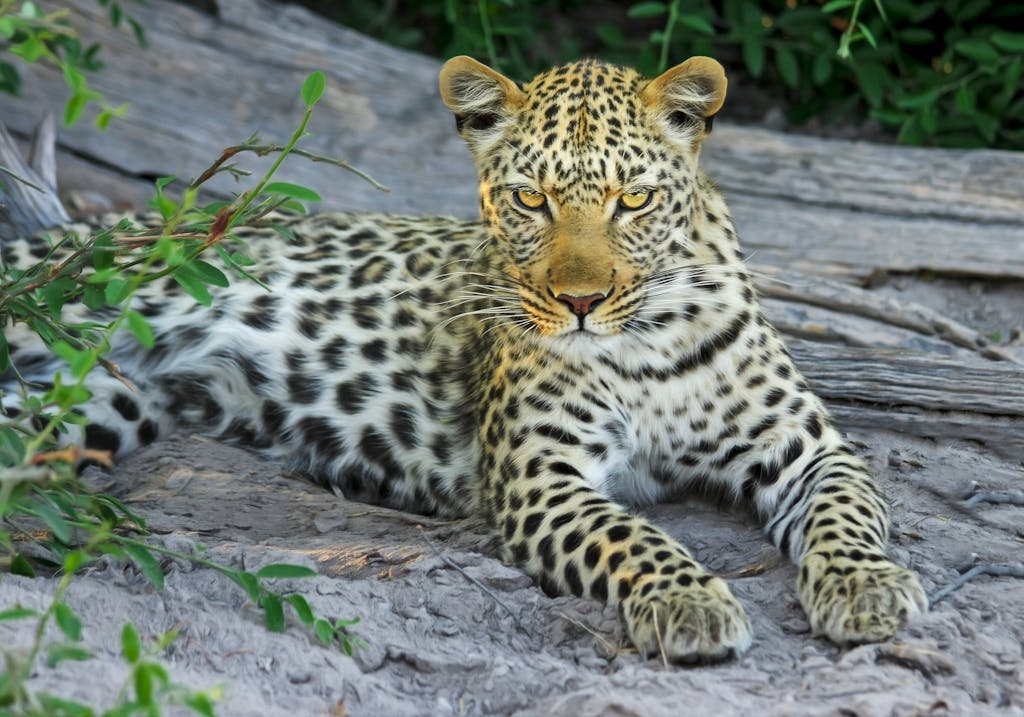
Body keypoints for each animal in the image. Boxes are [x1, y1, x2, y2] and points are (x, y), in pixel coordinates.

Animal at [1, 55, 927, 663]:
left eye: (633, 199)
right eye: (530, 199)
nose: (581, 302)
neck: (647, 338)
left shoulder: (809, 447)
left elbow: (848, 512)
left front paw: (868, 587)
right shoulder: (540, 475)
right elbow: (632, 534)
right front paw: (687, 597)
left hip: (94, 405)